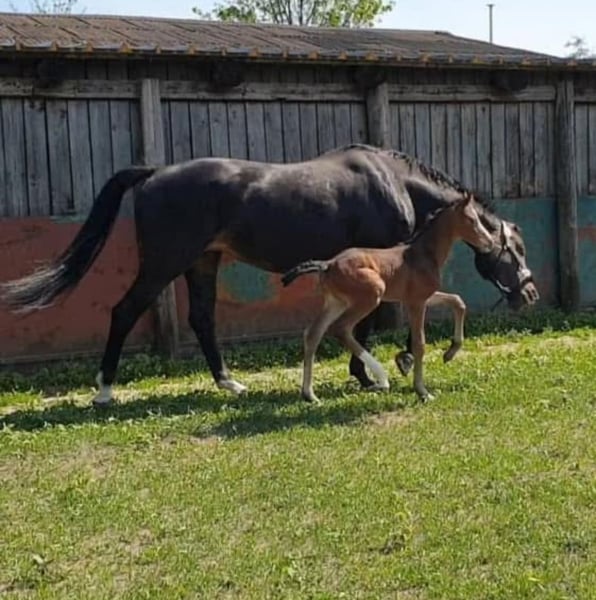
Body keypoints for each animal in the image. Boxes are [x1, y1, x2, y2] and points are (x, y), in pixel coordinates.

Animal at [281, 195, 494, 403]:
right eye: (472, 219)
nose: (490, 243)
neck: (422, 254)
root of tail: (328, 264)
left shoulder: (421, 297)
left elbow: (458, 302)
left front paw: (450, 352)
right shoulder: (416, 302)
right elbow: (419, 344)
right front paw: (422, 392)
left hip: (336, 302)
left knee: (313, 333)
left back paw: (309, 394)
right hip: (371, 295)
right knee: (341, 328)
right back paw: (381, 380)